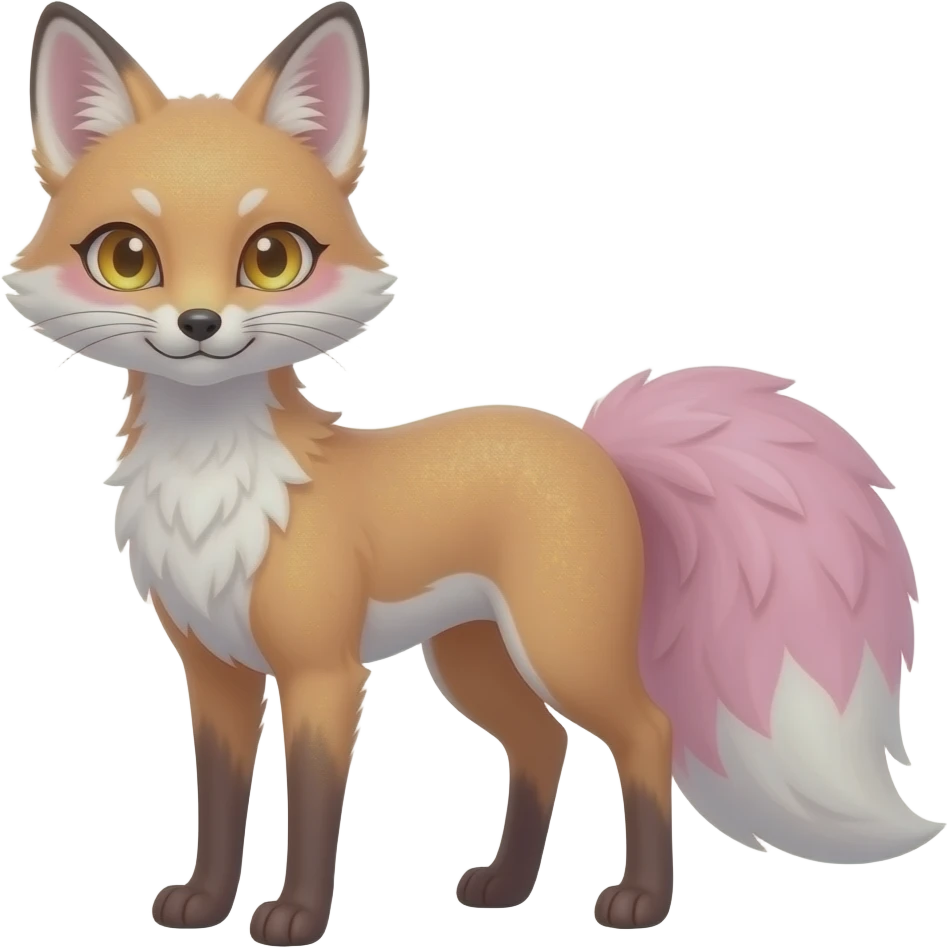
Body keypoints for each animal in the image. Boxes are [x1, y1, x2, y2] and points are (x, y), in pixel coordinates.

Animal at [6, 2, 942, 945]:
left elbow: (311, 804)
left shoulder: (323, 673)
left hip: (563, 649)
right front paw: (202, 903)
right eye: (127, 257)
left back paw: (639, 901)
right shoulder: (215, 670)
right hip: (474, 660)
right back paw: (506, 886)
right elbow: (218, 800)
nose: (199, 324)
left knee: (646, 731)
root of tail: (596, 445)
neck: (212, 486)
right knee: (542, 744)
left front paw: (298, 916)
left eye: (272, 257)